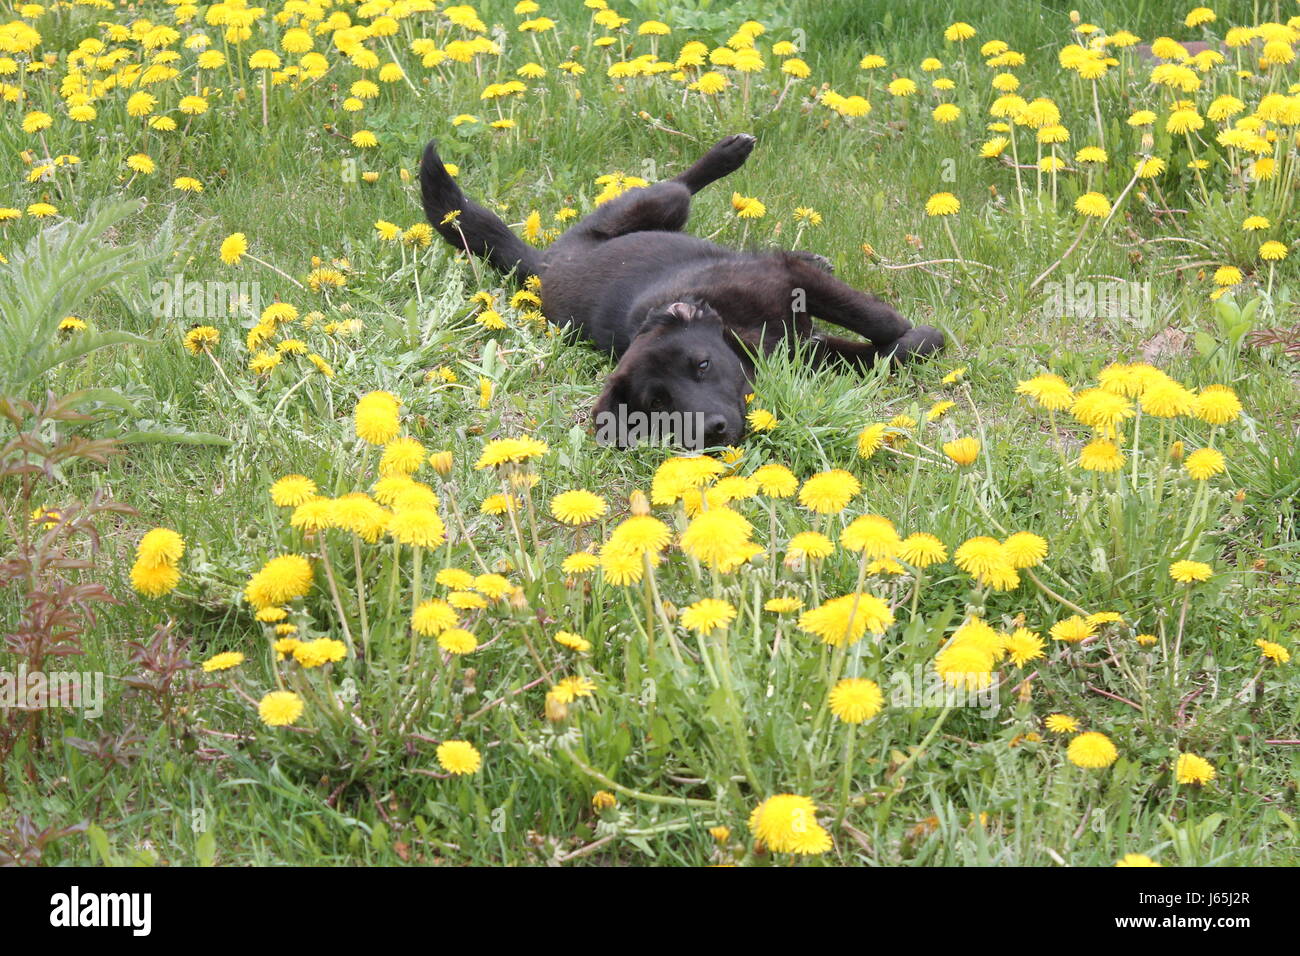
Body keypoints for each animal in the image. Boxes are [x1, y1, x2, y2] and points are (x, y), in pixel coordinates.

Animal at [423, 130, 946, 447]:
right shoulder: (805, 349)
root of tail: (544, 263)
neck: (733, 326)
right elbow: (880, 352)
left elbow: (877, 320)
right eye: (658, 404)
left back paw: (729, 153)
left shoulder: (792, 280)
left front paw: (916, 333)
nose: (713, 431)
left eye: (702, 365)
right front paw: (912, 343)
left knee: (679, 183)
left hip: (657, 206)